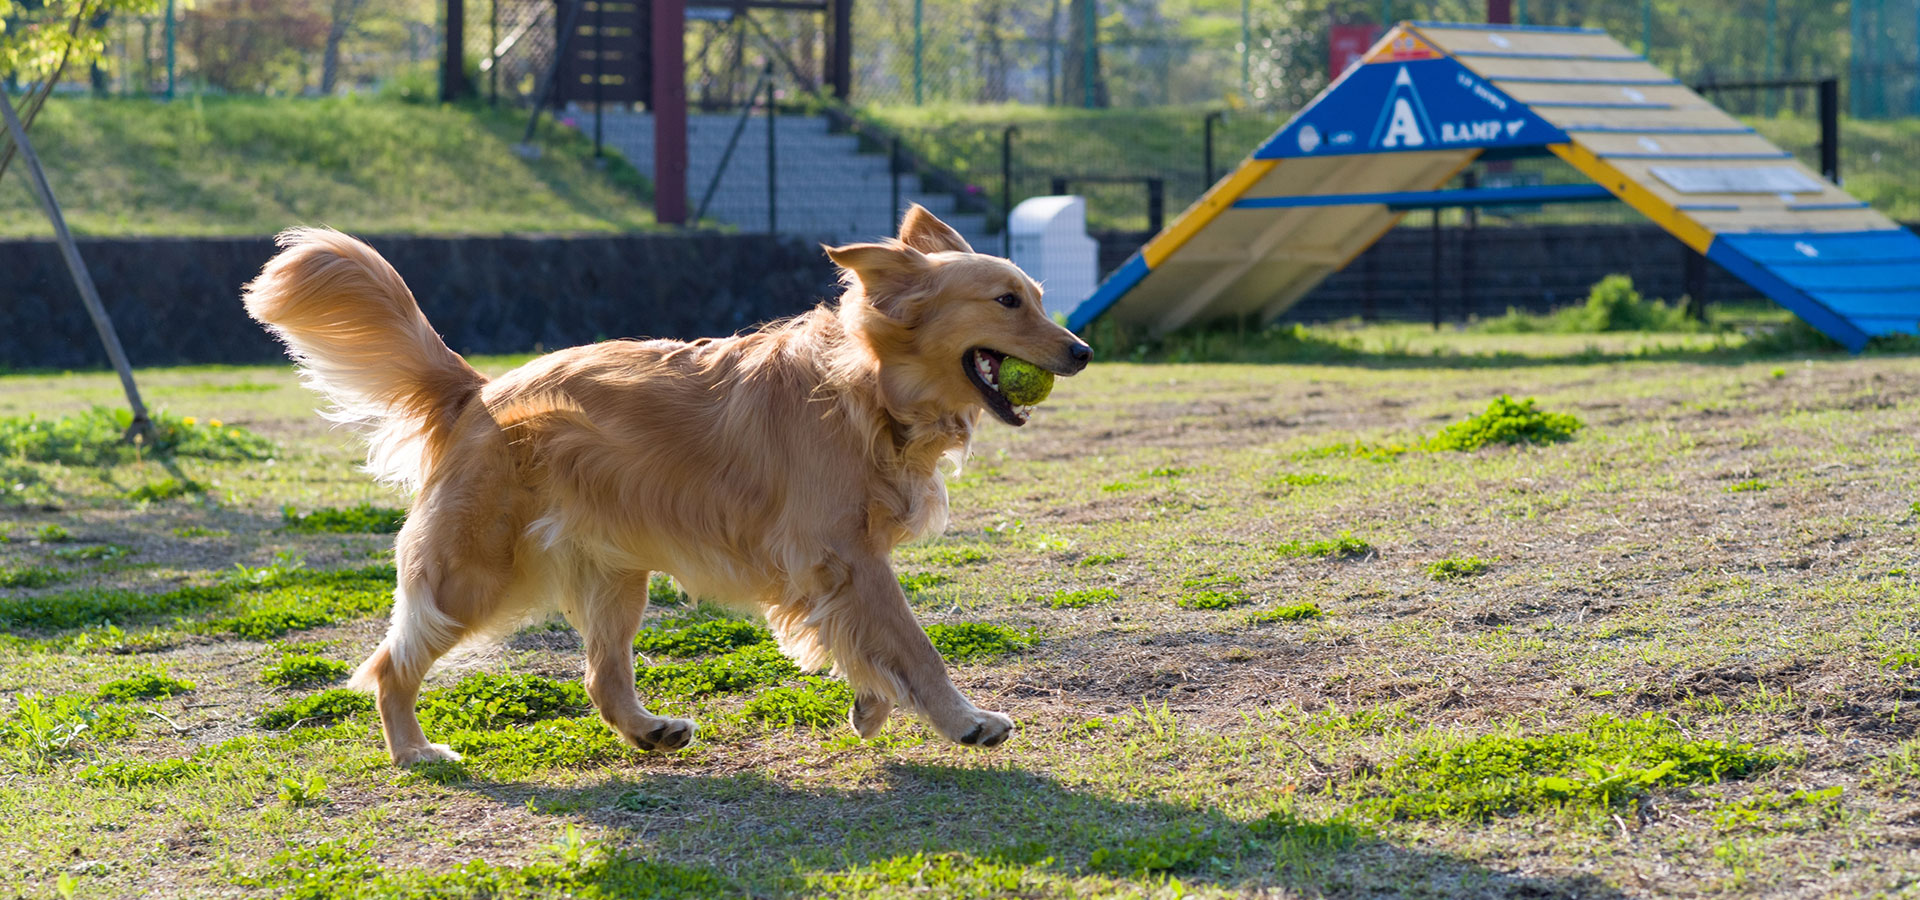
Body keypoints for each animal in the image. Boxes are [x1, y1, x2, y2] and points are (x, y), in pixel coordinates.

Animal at [241, 207, 1090, 759]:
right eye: (1008, 301)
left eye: (1040, 298)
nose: (1082, 350)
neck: (870, 388)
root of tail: (477, 390)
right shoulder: (843, 555)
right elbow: (913, 645)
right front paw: (965, 720)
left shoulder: (830, 570)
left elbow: (860, 643)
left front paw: (871, 706)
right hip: (472, 574)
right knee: (391, 665)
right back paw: (416, 753)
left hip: (617, 576)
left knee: (600, 678)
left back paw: (650, 730)